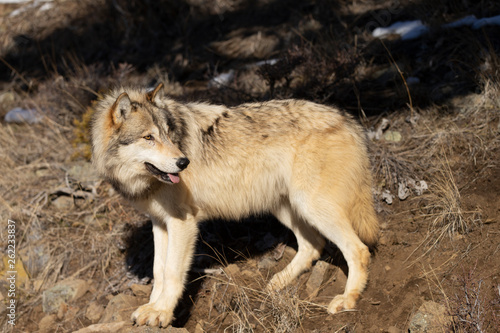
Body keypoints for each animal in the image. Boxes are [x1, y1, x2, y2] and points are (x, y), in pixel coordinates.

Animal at [91, 83, 378, 326]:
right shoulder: (160, 224)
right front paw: (152, 308)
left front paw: (162, 312)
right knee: (313, 245)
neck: (142, 181)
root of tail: (349, 120)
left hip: (311, 206)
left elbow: (172, 272)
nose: (184, 162)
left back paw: (347, 299)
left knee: (358, 250)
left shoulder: (183, 223)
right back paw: (278, 282)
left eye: (168, 135)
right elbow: (158, 272)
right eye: (148, 137)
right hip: (286, 207)